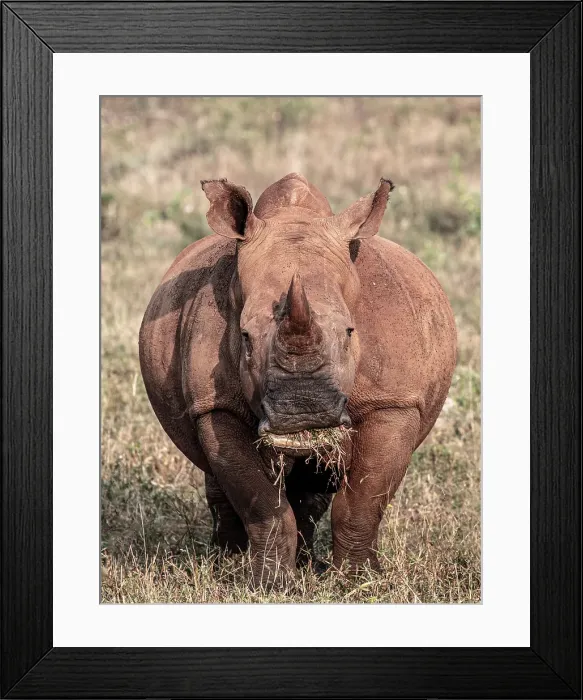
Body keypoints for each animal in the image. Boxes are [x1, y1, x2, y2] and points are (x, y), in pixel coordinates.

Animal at [139, 173, 457, 587]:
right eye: (245, 337)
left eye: (350, 332)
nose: (303, 412)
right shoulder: (215, 405)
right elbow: (261, 503)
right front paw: (268, 585)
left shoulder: (394, 401)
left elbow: (362, 501)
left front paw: (356, 582)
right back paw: (226, 564)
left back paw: (313, 567)